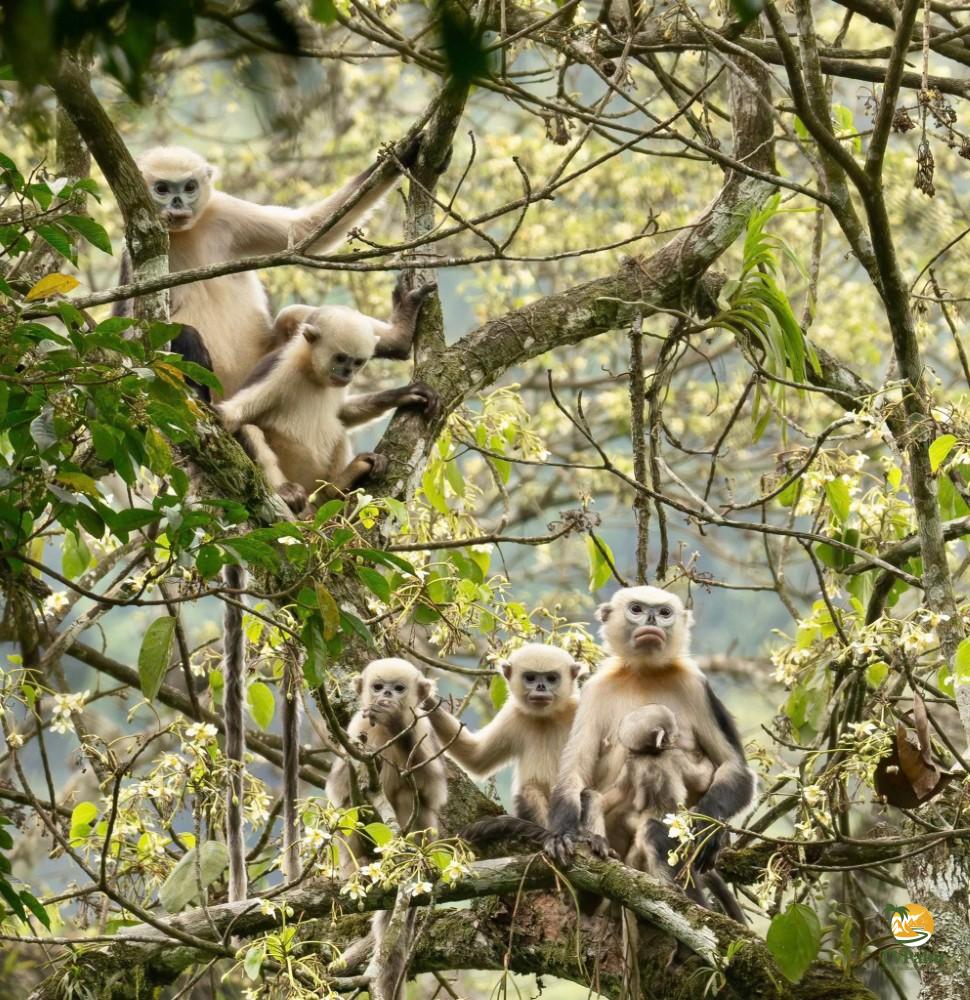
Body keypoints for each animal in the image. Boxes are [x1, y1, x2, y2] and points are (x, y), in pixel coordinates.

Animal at [114, 140, 424, 399]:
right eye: (163, 189)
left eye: (189, 187)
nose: (177, 203)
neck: (184, 232)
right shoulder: (133, 252)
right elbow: (131, 338)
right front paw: (186, 336)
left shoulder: (224, 211)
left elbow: (306, 229)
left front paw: (400, 155)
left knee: (293, 316)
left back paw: (399, 336)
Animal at [217, 295, 439, 514]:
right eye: (340, 358)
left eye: (357, 362)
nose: (347, 373)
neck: (312, 373)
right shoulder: (278, 368)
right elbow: (234, 417)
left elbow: (343, 414)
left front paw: (404, 394)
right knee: (249, 429)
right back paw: (287, 492)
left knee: (337, 429)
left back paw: (340, 484)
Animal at [326, 658, 446, 1000]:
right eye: (378, 686)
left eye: (399, 688)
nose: (387, 695)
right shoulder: (354, 731)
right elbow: (339, 793)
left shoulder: (423, 730)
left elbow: (432, 791)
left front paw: (395, 717)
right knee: (350, 810)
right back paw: (360, 865)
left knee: (411, 798)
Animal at [423, 644, 582, 842]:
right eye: (531, 677)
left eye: (551, 678)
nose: (541, 687)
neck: (547, 717)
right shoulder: (513, 715)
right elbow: (476, 758)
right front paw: (425, 700)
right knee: (529, 789)